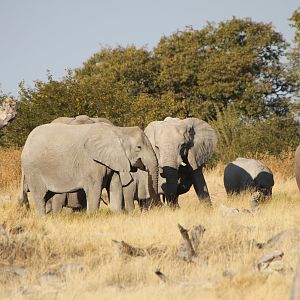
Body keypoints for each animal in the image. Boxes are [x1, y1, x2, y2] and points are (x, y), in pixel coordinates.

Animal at [18, 120, 159, 214]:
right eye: (139, 147)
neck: (118, 131)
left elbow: (115, 185)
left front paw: (116, 214)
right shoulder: (91, 163)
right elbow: (94, 188)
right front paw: (92, 216)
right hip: (33, 170)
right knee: (40, 196)